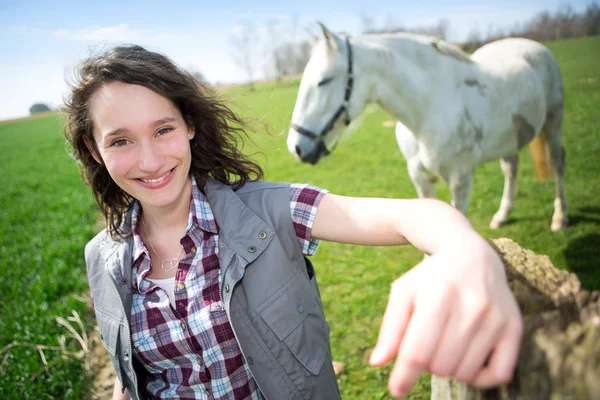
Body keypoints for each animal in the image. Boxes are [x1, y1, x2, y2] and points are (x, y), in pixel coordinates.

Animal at [286, 22, 568, 231]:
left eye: (324, 80)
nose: (296, 148)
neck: (428, 109)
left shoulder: (461, 179)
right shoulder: (420, 176)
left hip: (553, 121)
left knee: (557, 162)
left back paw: (560, 218)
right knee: (511, 168)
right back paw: (503, 215)